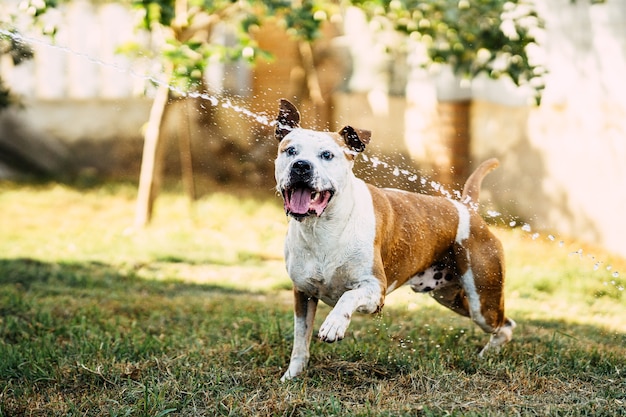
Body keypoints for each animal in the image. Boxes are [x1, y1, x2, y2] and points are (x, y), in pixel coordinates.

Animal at [272, 98, 512, 380]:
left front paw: (334, 324)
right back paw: (486, 356)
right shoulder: (303, 293)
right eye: (290, 151)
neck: (323, 227)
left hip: (482, 301)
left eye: (327, 155)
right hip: (450, 297)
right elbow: (300, 340)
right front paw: (292, 376)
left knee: (504, 325)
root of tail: (467, 208)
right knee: (502, 323)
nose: (301, 165)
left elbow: (347, 297)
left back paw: (488, 357)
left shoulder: (375, 291)